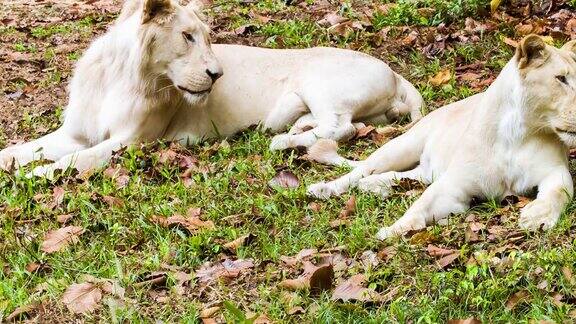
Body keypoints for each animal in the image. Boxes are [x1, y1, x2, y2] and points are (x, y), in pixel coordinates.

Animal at [0, 0, 424, 177]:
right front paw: (15, 162)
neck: (121, 77)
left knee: (344, 127)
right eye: (187, 37)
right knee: (336, 125)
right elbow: (24, 149)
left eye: (206, 37)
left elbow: (79, 160)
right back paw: (294, 132)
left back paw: (283, 142)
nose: (218, 75)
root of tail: (395, 73)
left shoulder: (135, 141)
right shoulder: (75, 132)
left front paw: (39, 174)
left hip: (321, 83)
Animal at [308, 34, 576, 238]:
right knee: (359, 171)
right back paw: (324, 188)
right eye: (561, 79)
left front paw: (537, 217)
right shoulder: (455, 183)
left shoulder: (554, 171)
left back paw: (373, 185)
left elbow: (559, 192)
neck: (517, 133)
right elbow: (422, 203)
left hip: (425, 168)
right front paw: (393, 230)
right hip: (402, 146)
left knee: (410, 175)